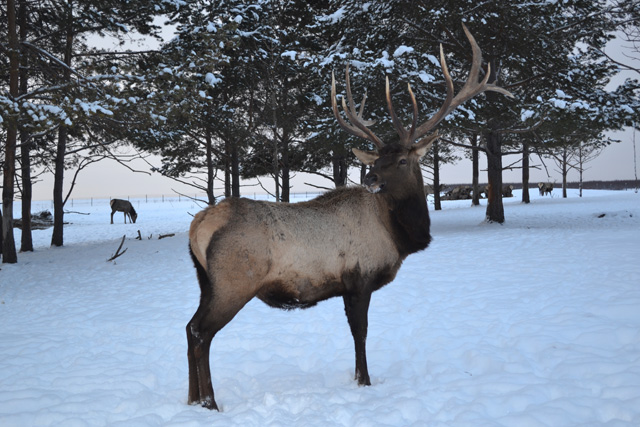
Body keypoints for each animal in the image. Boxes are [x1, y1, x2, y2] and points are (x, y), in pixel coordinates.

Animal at [186, 24, 516, 412]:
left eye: (401, 159)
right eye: (377, 159)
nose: (370, 178)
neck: (399, 236)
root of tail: (197, 226)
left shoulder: (346, 286)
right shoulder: (361, 277)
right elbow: (361, 332)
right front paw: (365, 381)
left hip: (206, 282)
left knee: (189, 327)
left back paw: (193, 399)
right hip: (234, 282)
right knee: (201, 332)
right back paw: (209, 402)